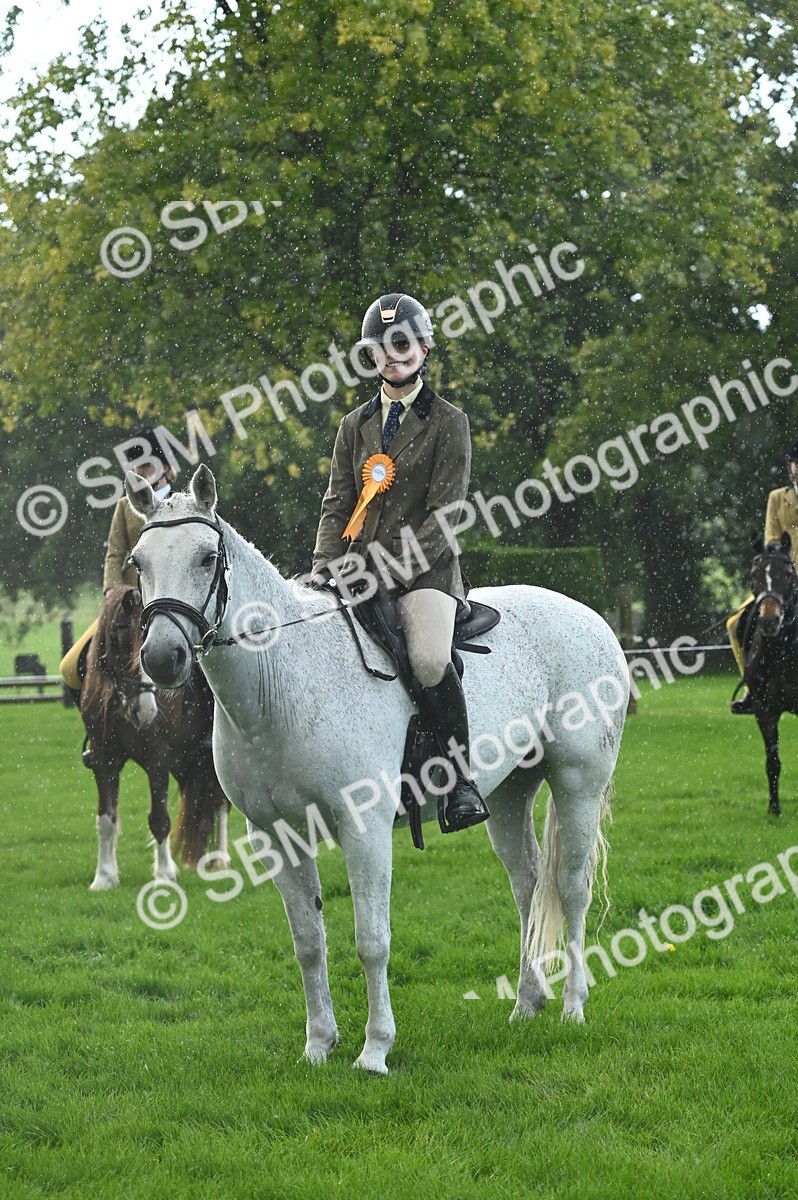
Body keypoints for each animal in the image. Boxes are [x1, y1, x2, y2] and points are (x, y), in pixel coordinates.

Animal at [80, 584, 231, 889]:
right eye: (122, 638)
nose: (147, 711)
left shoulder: (157, 759)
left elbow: (159, 819)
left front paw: (164, 874)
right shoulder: (104, 759)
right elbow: (105, 818)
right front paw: (104, 877)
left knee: (220, 802)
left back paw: (220, 860)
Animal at [127, 465, 628, 1074]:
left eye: (205, 557)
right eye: (138, 562)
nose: (161, 658)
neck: (282, 680)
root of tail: (590, 617)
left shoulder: (362, 830)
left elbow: (371, 940)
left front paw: (375, 1050)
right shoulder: (276, 836)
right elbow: (308, 942)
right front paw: (319, 1045)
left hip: (578, 784)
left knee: (571, 887)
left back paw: (574, 1006)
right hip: (510, 796)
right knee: (528, 886)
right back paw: (527, 1005)